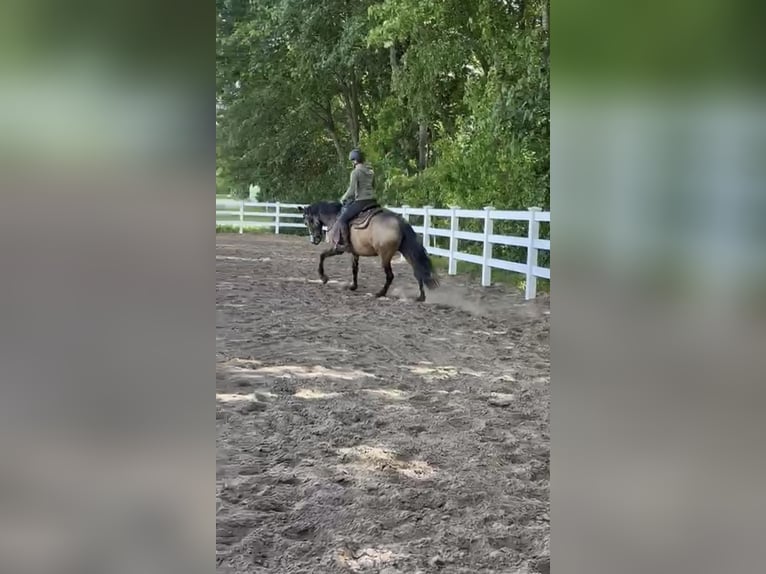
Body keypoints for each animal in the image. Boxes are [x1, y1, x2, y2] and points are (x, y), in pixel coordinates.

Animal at [298, 201, 439, 301]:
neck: (335, 218)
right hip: (407, 252)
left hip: (385, 256)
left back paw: (380, 293)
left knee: (390, 275)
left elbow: (322, 256)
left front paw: (323, 277)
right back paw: (421, 297)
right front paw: (353, 286)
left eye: (307, 222)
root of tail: (399, 221)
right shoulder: (354, 252)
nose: (314, 240)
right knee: (418, 271)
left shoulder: (337, 249)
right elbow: (354, 269)